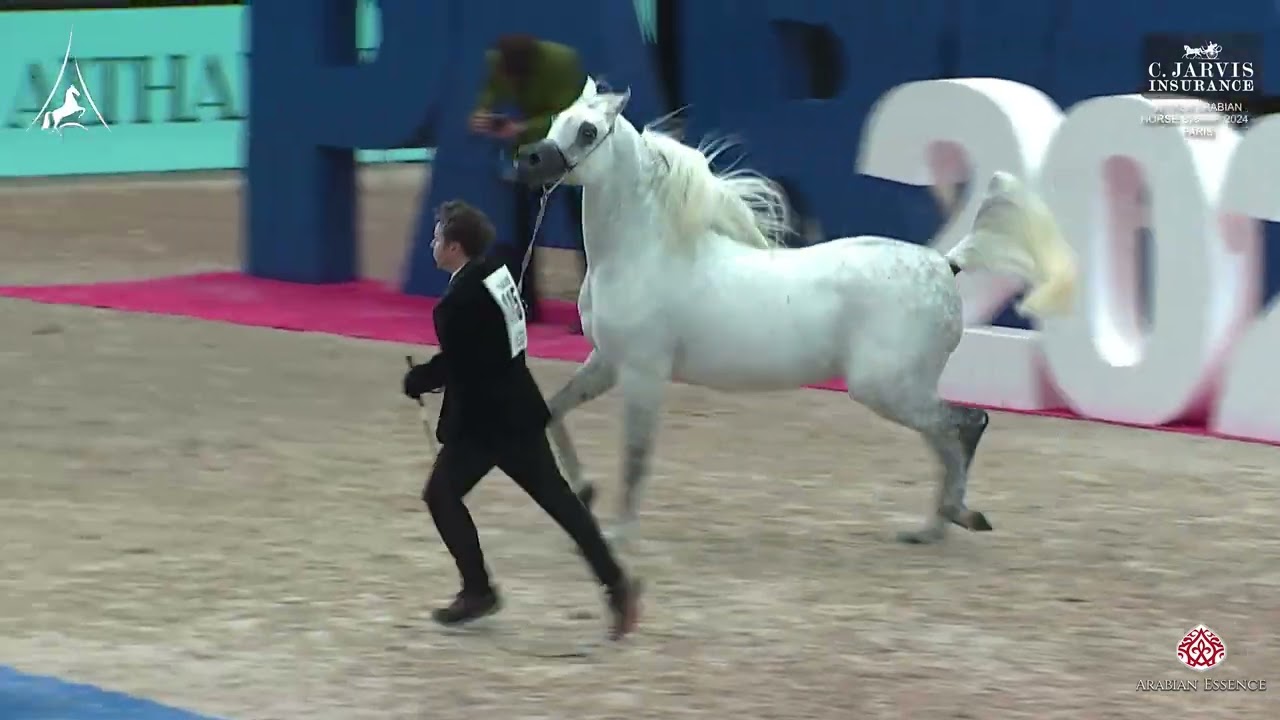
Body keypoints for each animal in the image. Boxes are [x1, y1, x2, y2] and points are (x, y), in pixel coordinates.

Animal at [512, 77, 1078, 546]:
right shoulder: (606, 363)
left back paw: (958, 517)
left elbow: (635, 456)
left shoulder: (643, 373)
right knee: (947, 440)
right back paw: (932, 528)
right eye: (557, 119)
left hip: (886, 388)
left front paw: (619, 531)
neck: (644, 251)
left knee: (966, 425)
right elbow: (550, 413)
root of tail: (945, 263)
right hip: (901, 390)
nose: (526, 160)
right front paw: (585, 489)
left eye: (587, 131)